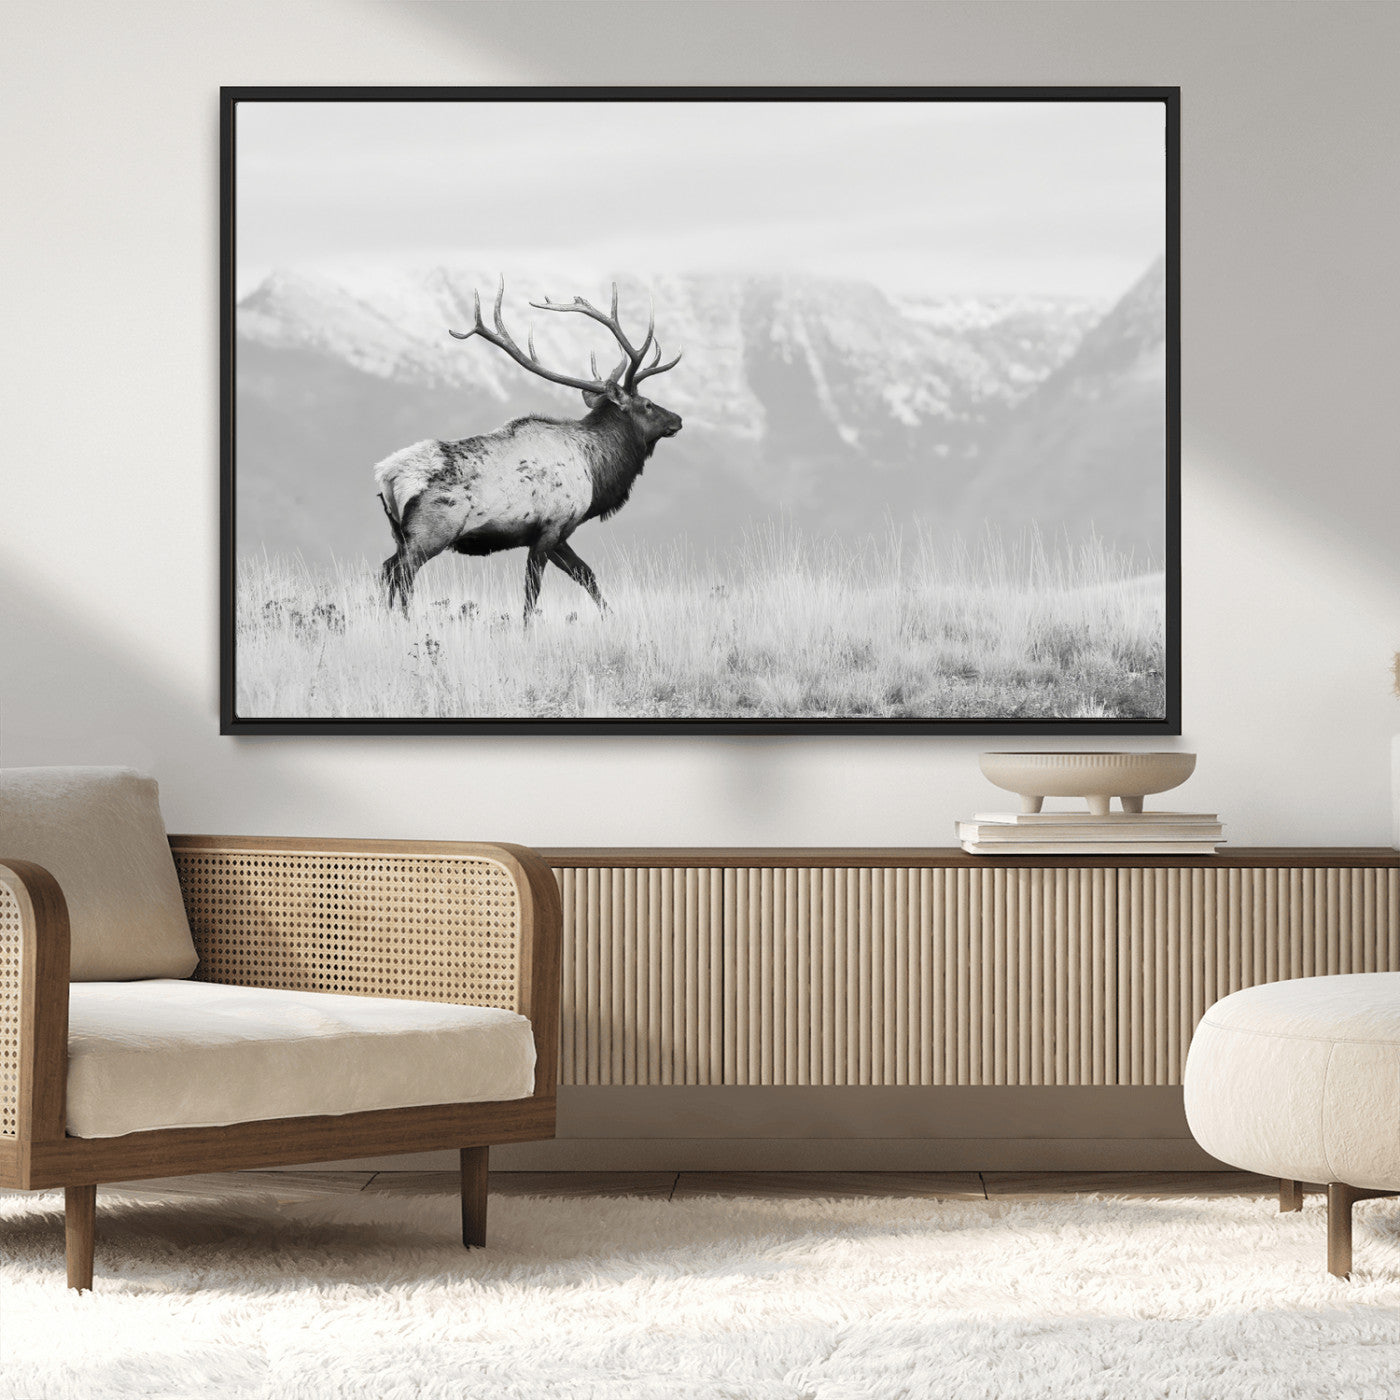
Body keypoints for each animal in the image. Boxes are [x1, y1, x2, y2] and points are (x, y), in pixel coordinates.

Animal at [375, 279, 683, 622]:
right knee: (401, 572)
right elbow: (532, 592)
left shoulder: (558, 535)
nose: (678, 419)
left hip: (400, 534)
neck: (596, 469)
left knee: (387, 569)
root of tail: (386, 476)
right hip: (431, 532)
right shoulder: (551, 527)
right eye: (648, 404)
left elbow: (586, 574)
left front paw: (611, 618)